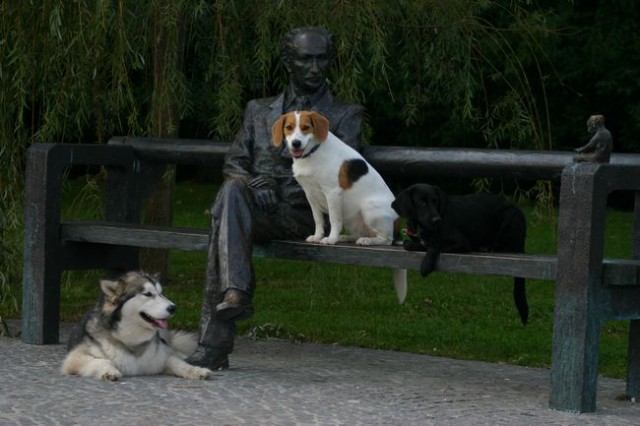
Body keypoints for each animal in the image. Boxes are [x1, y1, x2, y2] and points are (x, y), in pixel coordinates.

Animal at [272, 110, 408, 302]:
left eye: (306, 127)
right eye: (289, 127)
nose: (295, 143)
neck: (312, 153)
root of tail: (397, 230)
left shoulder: (332, 193)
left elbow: (334, 220)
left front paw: (331, 239)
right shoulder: (310, 194)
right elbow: (318, 220)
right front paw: (318, 236)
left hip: (369, 209)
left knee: (386, 239)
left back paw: (367, 241)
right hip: (353, 219)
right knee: (359, 232)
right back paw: (348, 238)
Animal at [392, 183, 528, 326]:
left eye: (435, 201)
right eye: (421, 202)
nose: (437, 220)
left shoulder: (462, 243)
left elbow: (435, 245)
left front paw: (426, 265)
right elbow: (410, 244)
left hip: (510, 215)